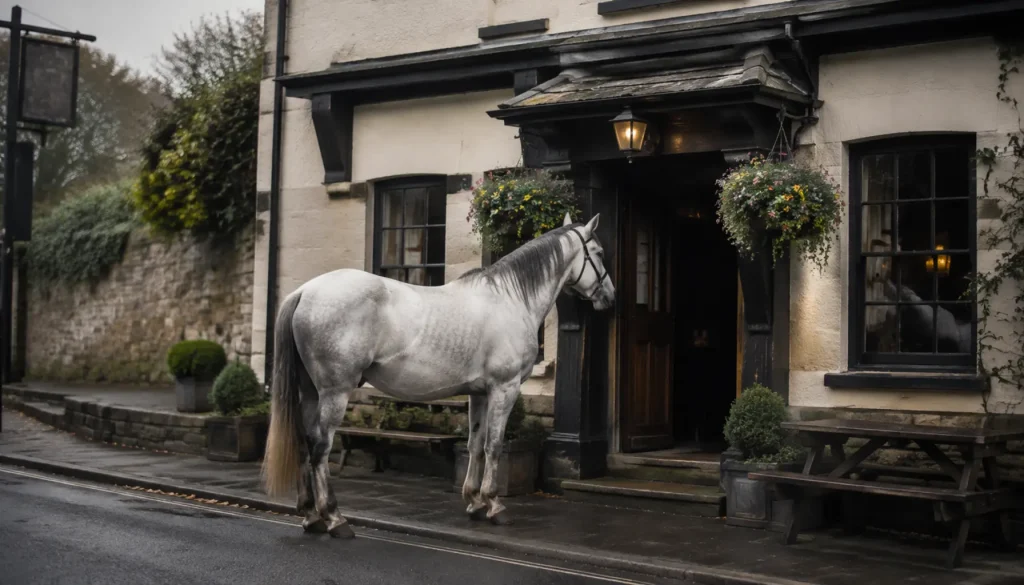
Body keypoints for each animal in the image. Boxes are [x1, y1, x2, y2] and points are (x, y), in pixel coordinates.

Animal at [260, 213, 616, 538]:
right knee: (321, 448)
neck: (511, 299)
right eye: (598, 252)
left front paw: (474, 502)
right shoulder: (506, 387)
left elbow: (475, 443)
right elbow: (495, 445)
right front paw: (495, 505)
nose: (610, 297)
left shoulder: (479, 392)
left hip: (310, 391)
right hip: (335, 392)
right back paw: (335, 518)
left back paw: (311, 516)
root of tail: (305, 291)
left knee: (305, 442)